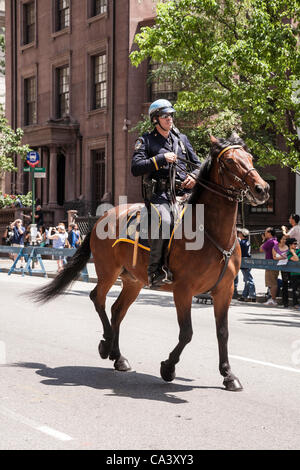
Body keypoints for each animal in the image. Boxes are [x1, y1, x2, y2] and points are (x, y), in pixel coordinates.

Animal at [32, 134, 270, 392]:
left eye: (250, 157)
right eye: (229, 161)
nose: (262, 189)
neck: (210, 231)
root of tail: (102, 217)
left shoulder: (223, 290)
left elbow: (223, 332)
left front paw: (228, 374)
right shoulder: (183, 290)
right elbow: (186, 333)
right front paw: (168, 367)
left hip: (133, 280)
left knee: (117, 311)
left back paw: (118, 356)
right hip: (108, 272)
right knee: (98, 298)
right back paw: (106, 345)